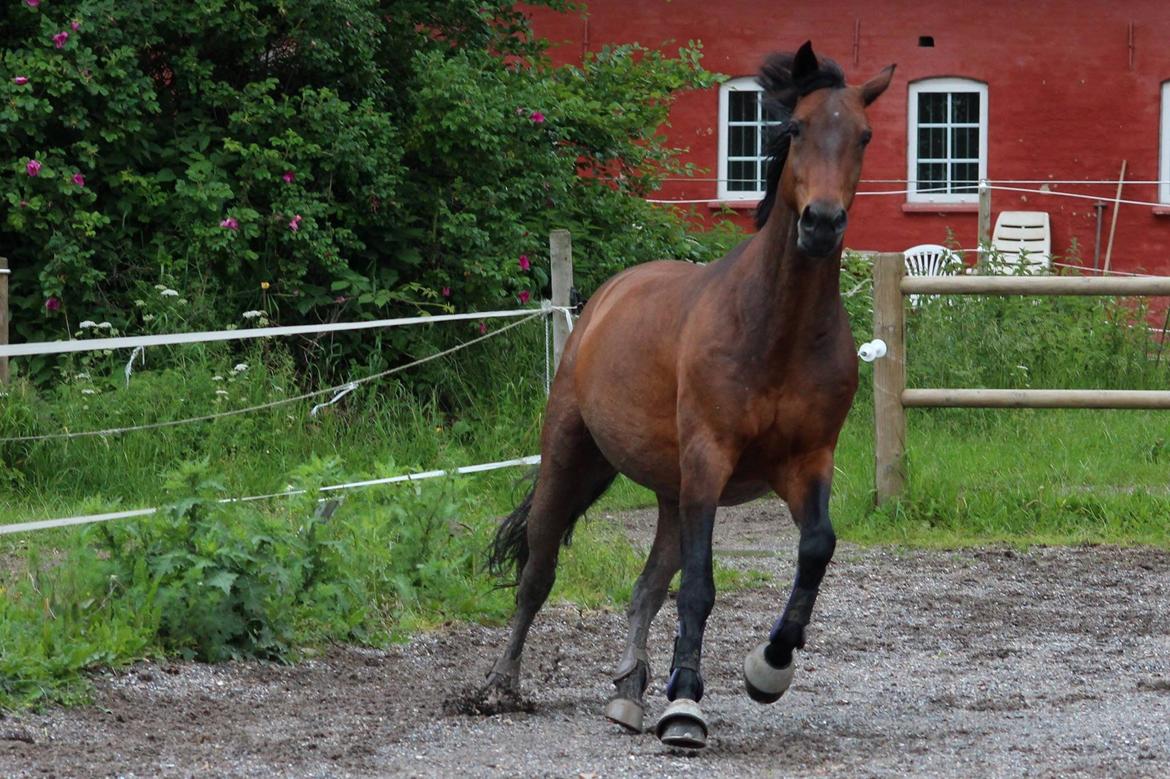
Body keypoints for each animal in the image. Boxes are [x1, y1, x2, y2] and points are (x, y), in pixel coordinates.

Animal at [479, 42, 889, 748]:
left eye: (863, 135)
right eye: (794, 127)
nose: (822, 223)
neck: (774, 329)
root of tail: (605, 298)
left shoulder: (807, 462)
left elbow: (816, 548)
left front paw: (768, 668)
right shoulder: (709, 459)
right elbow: (699, 586)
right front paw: (686, 707)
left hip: (673, 492)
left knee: (646, 587)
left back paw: (628, 694)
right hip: (573, 453)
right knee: (538, 572)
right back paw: (503, 685)